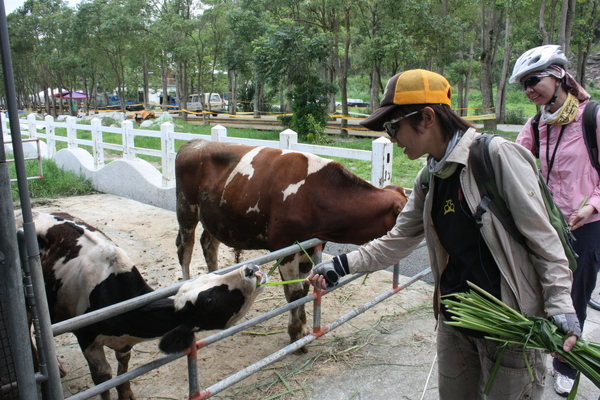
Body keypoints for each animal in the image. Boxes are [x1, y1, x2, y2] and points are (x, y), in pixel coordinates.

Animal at [24, 212, 264, 400]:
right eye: (210, 300)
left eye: (211, 276)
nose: (250, 269)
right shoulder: (86, 336)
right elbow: (103, 378)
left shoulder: (123, 344)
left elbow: (123, 368)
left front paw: (126, 394)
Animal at [173, 139, 408, 352]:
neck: (315, 194)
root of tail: (194, 143)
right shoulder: (285, 249)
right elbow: (294, 293)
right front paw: (295, 335)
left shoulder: (309, 247)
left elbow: (304, 289)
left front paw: (303, 329)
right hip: (186, 209)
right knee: (185, 249)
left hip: (215, 218)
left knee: (208, 245)